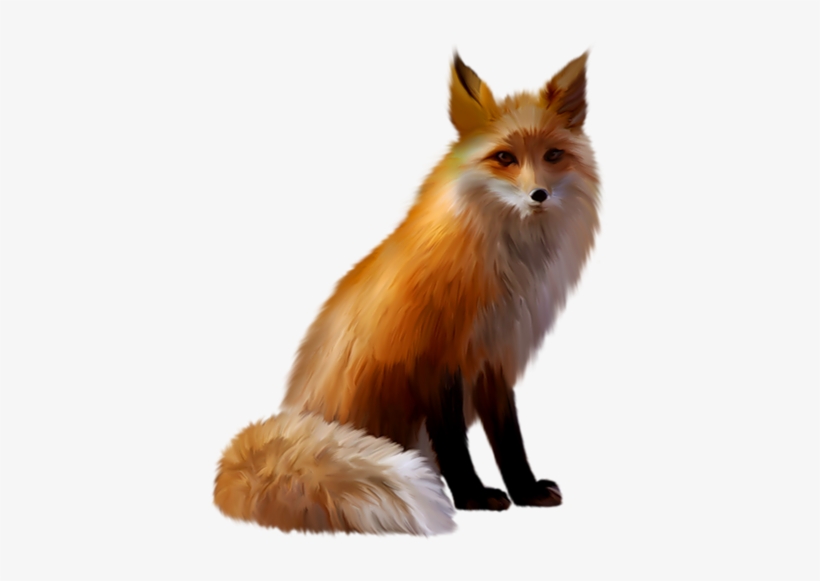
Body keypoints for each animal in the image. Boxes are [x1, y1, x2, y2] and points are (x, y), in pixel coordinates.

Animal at [213, 52, 600, 535]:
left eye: (553, 155)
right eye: (504, 158)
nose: (539, 195)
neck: (505, 272)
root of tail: (294, 416)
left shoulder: (495, 358)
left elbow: (509, 438)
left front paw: (525, 492)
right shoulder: (435, 360)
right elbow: (454, 444)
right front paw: (472, 498)